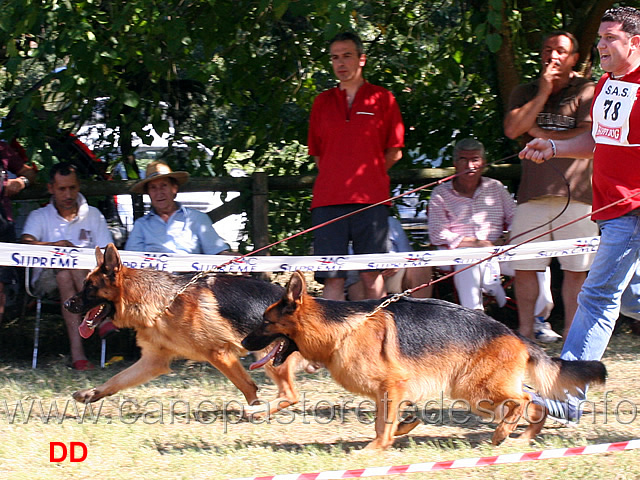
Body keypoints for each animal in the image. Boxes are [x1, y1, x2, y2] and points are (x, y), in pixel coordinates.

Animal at [64, 244, 302, 416]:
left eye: (90, 287)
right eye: (84, 284)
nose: (66, 304)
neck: (162, 303)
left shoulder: (220, 354)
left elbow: (248, 387)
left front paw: (255, 408)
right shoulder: (152, 361)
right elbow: (117, 380)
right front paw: (91, 393)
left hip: (270, 360)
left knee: (290, 395)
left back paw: (259, 412)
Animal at [242, 272, 608, 448]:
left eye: (265, 322)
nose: (243, 343)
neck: (342, 329)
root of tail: (514, 334)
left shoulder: (393, 386)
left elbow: (383, 425)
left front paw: (375, 450)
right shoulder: (390, 392)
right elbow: (388, 419)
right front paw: (402, 430)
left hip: (476, 391)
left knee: (523, 400)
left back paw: (505, 432)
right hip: (479, 394)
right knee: (536, 405)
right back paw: (523, 437)